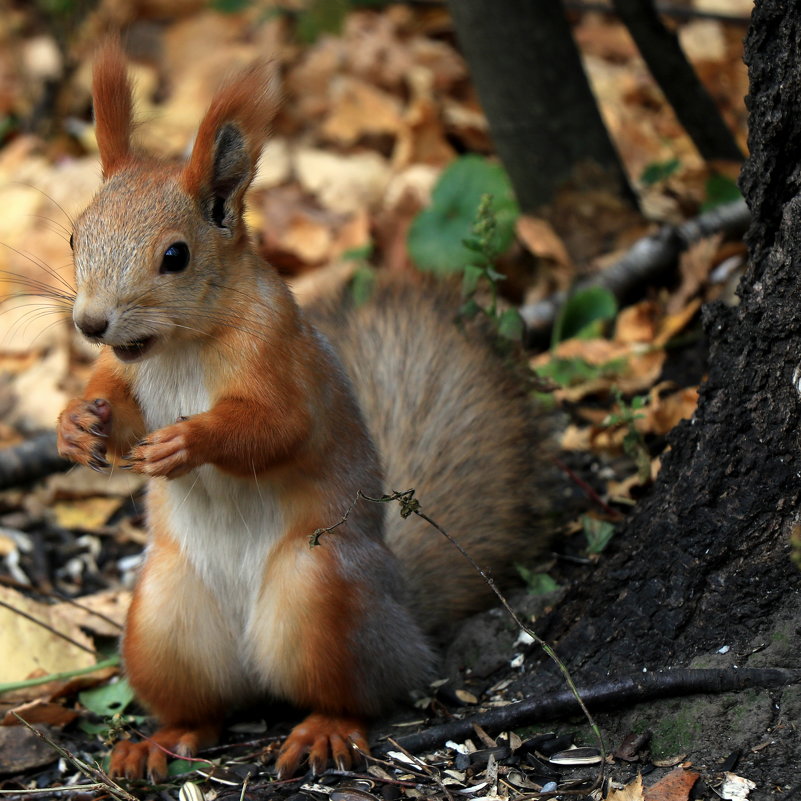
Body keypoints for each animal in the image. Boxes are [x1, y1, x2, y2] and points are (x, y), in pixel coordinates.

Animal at [54, 42, 552, 780]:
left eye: (175, 255)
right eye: (74, 238)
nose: (91, 322)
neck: (177, 347)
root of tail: (404, 618)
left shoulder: (280, 358)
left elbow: (276, 428)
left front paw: (186, 441)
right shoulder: (121, 370)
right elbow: (113, 405)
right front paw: (75, 425)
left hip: (321, 595)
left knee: (356, 692)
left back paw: (326, 728)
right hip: (161, 620)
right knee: (203, 707)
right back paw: (161, 739)